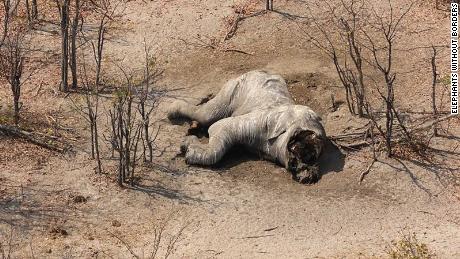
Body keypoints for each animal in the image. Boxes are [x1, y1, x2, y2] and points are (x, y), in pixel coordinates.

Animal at [169, 70, 328, 184]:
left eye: (312, 156)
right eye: (302, 137)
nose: (308, 177)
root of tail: (262, 71)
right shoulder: (261, 123)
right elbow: (218, 128)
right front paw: (186, 146)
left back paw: (192, 126)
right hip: (237, 86)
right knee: (205, 114)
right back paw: (172, 111)